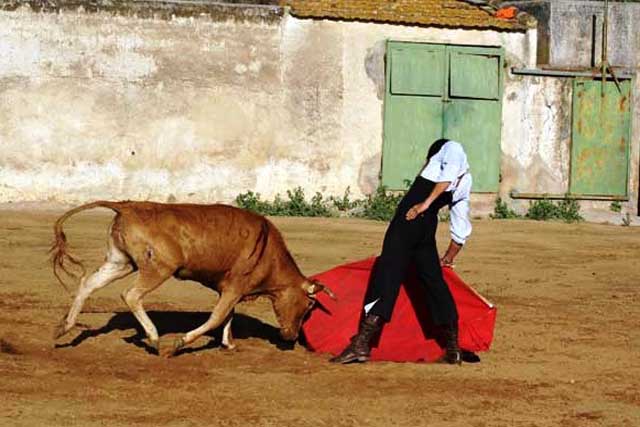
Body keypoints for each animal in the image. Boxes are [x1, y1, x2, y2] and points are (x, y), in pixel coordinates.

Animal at [50, 202, 336, 356]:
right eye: (309, 305)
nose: (291, 337)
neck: (269, 255)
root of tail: (127, 206)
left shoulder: (229, 290)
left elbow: (228, 316)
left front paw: (228, 344)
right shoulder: (235, 287)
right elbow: (217, 317)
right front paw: (180, 343)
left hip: (121, 262)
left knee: (88, 284)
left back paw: (64, 327)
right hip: (159, 267)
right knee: (131, 295)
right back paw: (154, 338)